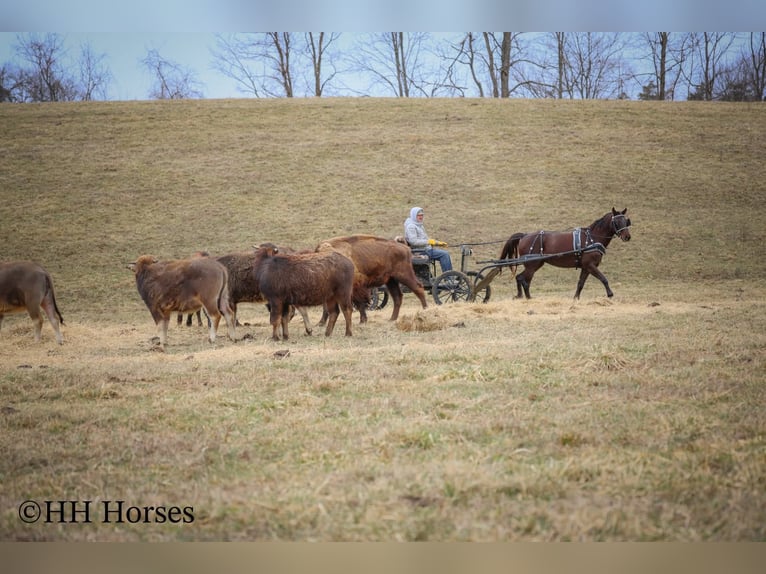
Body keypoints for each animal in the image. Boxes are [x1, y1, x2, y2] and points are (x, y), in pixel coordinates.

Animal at [500, 208, 631, 300]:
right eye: (617, 222)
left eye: (626, 221)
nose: (627, 237)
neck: (593, 238)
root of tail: (524, 235)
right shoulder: (591, 265)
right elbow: (603, 278)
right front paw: (610, 294)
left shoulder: (586, 267)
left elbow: (580, 284)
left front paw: (576, 298)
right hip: (532, 265)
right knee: (521, 278)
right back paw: (526, 297)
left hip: (535, 265)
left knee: (524, 279)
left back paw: (524, 297)